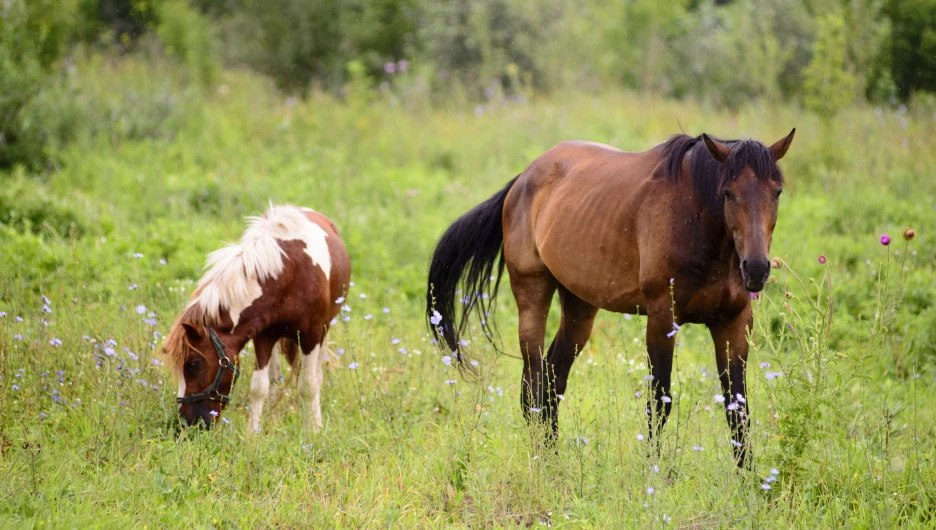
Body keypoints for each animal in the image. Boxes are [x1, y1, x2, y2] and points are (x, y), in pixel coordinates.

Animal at [165, 204, 352, 432]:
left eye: (193, 364)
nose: (187, 421)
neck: (289, 275)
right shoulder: (264, 336)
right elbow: (259, 386)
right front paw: (253, 432)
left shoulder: (312, 335)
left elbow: (309, 384)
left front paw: (313, 430)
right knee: (275, 377)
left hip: (324, 332)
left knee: (315, 375)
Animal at [428, 130, 792, 464]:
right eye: (728, 193)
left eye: (777, 192)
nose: (756, 268)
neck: (696, 221)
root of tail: (522, 180)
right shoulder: (662, 318)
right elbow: (659, 402)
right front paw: (655, 475)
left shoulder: (734, 322)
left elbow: (738, 410)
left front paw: (748, 483)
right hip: (532, 293)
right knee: (533, 384)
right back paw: (540, 463)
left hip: (579, 307)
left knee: (552, 383)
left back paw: (554, 463)